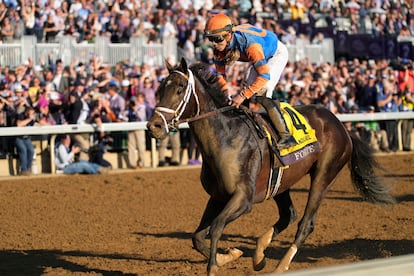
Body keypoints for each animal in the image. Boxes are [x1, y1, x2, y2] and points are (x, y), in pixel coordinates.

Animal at [146, 59, 394, 274]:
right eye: (159, 89)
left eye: (179, 89)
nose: (154, 126)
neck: (225, 138)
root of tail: (341, 125)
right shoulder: (217, 196)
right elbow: (197, 237)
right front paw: (231, 255)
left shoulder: (243, 199)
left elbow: (216, 227)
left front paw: (216, 266)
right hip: (281, 183)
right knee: (288, 215)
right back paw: (259, 254)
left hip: (325, 175)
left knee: (305, 223)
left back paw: (280, 266)